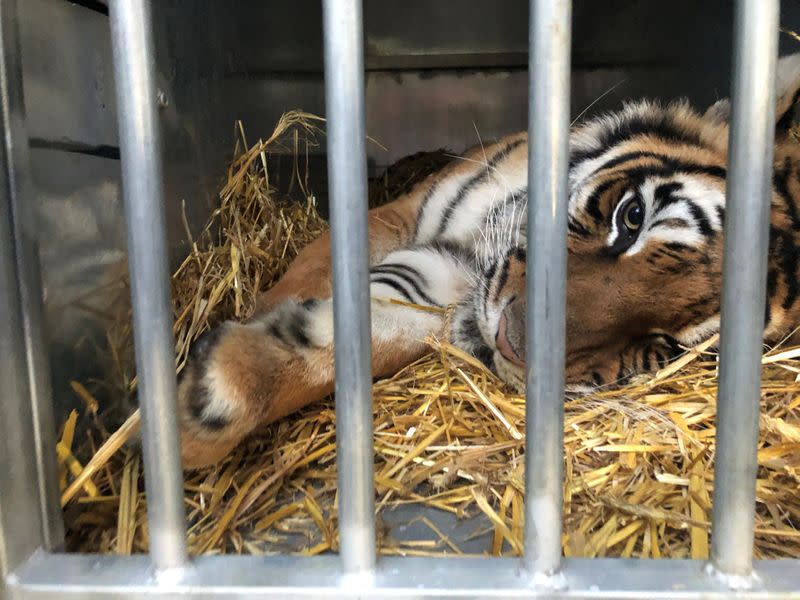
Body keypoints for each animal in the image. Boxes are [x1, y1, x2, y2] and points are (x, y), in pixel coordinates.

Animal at [177, 54, 800, 468]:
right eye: (631, 218)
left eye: (665, 343)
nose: (511, 343)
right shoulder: (397, 217)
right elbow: (309, 281)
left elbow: (374, 336)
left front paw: (218, 387)